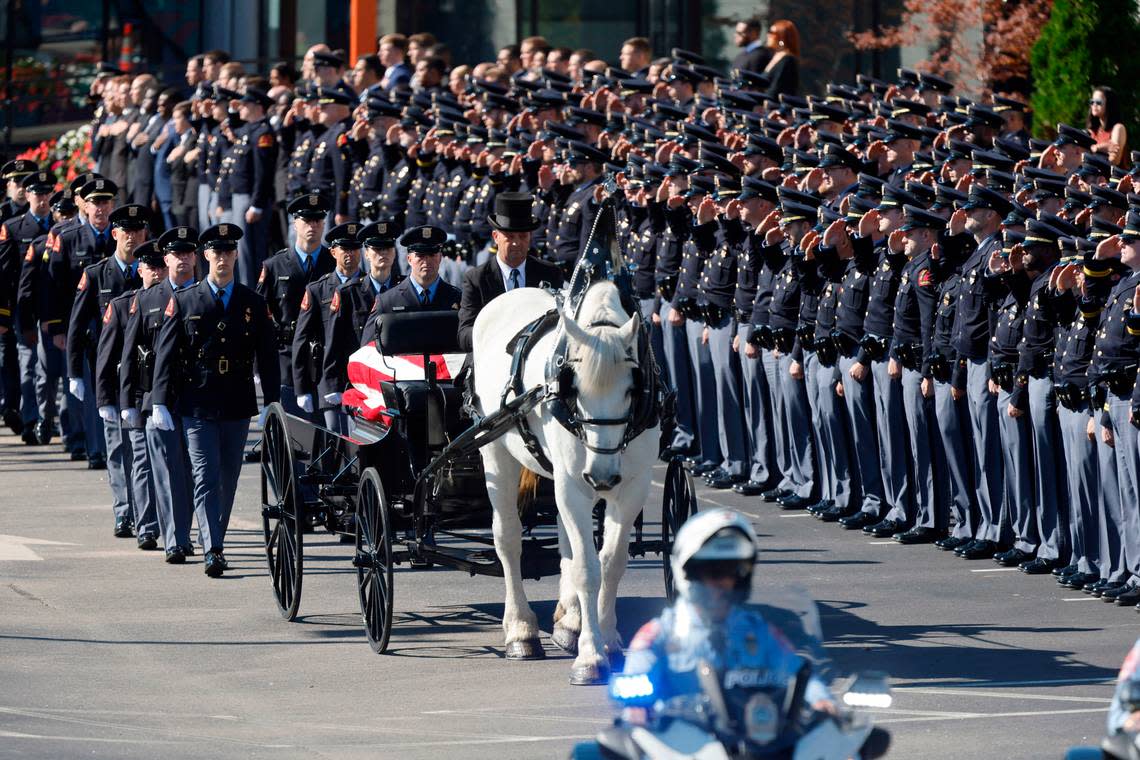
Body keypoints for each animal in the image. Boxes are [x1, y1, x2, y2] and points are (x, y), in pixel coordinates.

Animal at [469, 279, 661, 683]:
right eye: (573, 388)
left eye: (632, 388)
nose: (601, 476)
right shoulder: (573, 485)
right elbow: (588, 568)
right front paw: (591, 656)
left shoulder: (632, 485)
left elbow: (610, 562)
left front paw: (606, 636)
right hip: (496, 453)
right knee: (507, 539)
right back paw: (521, 630)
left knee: (565, 545)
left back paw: (569, 621)